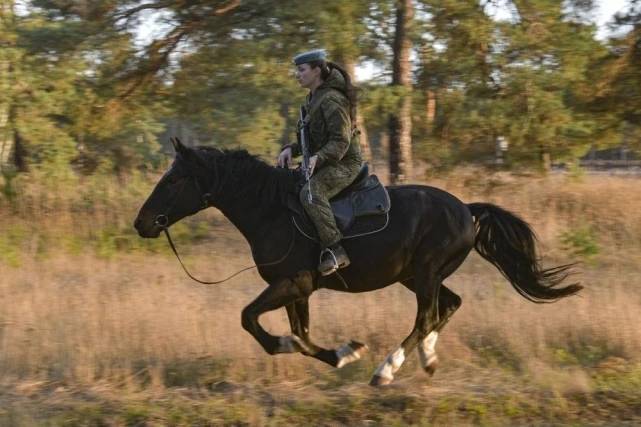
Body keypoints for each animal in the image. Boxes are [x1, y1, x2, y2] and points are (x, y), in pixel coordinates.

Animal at [134, 139, 580, 386]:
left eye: (173, 179)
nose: (142, 223)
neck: (272, 210)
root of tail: (467, 210)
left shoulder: (293, 284)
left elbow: (253, 321)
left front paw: (342, 352)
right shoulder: (298, 290)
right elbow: (301, 335)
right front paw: (343, 352)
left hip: (425, 275)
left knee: (425, 317)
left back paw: (386, 370)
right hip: (416, 276)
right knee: (448, 306)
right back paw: (428, 360)